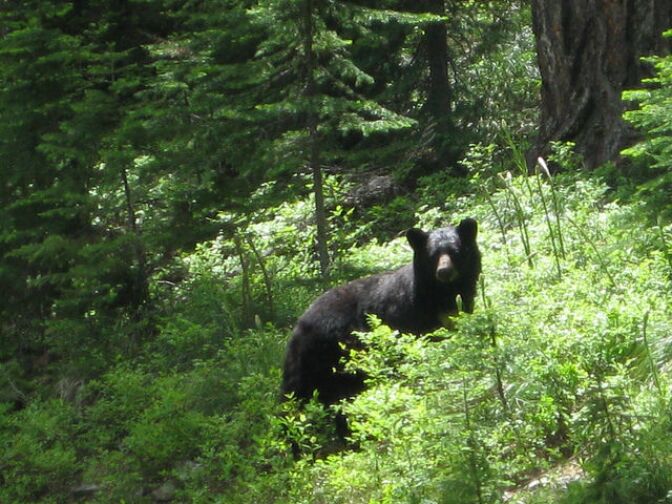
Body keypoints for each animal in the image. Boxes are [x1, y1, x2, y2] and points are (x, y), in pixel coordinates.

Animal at [280, 218, 481, 417]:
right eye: (432, 255)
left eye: (455, 251)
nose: (444, 271)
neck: (441, 295)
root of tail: (300, 324)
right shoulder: (409, 317)